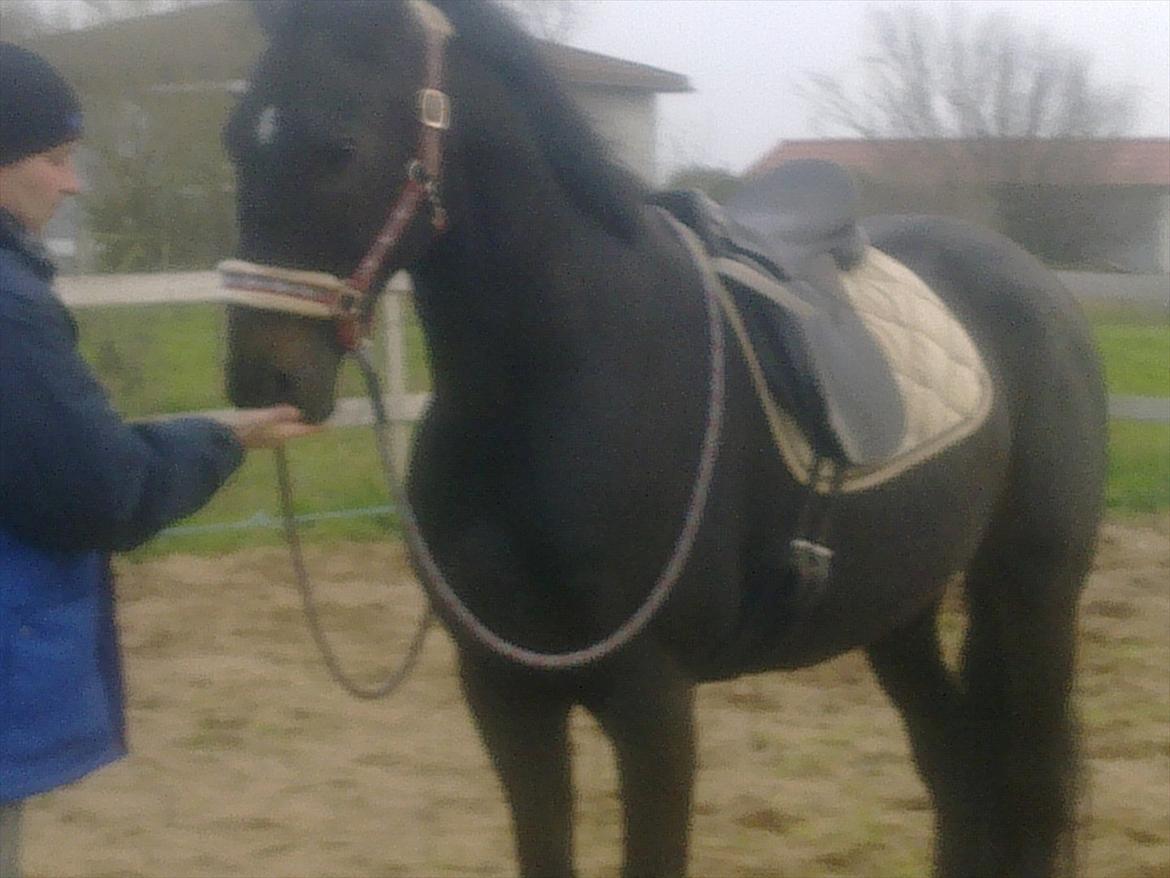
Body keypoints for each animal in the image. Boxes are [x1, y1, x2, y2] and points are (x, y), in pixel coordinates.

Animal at [219, 2, 1108, 876]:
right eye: (236, 138)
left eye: (340, 146)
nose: (263, 380)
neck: (559, 381)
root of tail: (1040, 287)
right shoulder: (503, 690)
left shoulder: (652, 701)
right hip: (898, 608)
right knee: (956, 765)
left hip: (1034, 592)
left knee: (1028, 788)